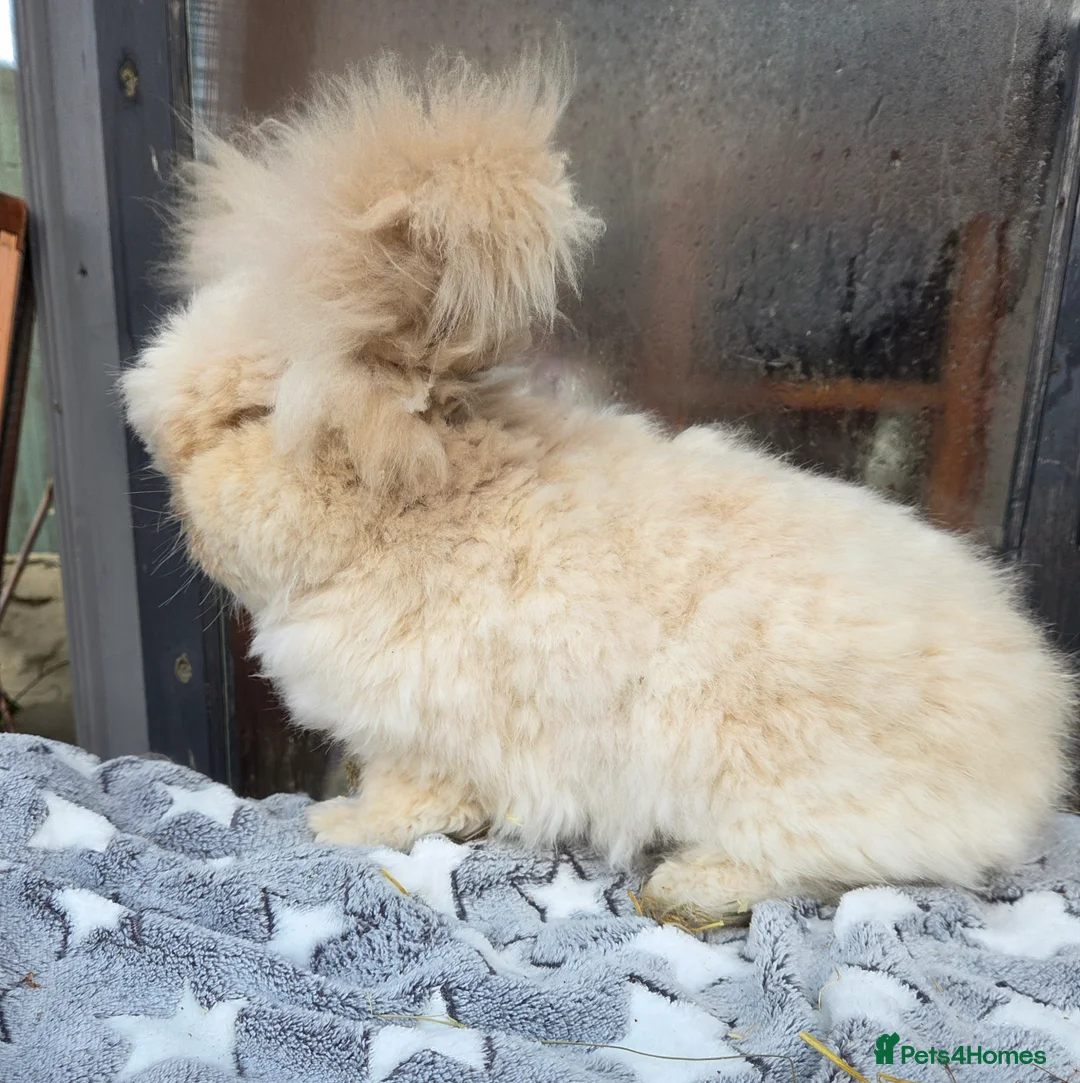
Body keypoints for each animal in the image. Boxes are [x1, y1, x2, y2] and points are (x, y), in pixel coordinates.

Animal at [121, 49, 1075, 916]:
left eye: (249, 415)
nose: (151, 438)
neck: (412, 516)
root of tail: (1031, 741)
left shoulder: (425, 736)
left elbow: (413, 804)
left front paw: (337, 825)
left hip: (765, 773)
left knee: (813, 864)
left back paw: (684, 888)